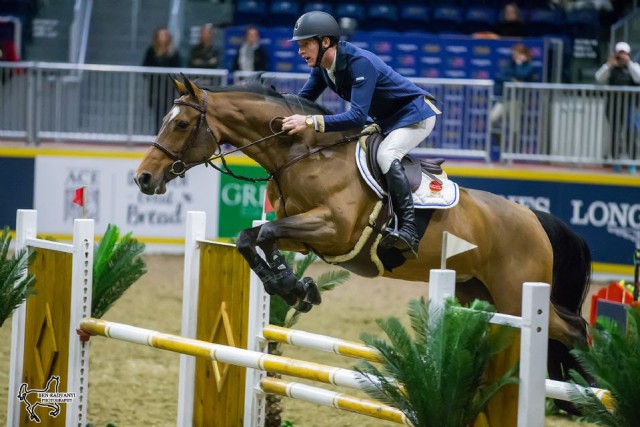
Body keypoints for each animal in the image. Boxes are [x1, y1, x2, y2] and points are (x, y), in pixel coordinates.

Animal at [135, 76, 592, 394]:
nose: (143, 178)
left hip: (516, 293)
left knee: (574, 328)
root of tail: (534, 218)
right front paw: (295, 288)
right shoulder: (307, 234)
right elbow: (254, 237)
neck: (301, 155)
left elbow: (263, 234)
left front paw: (294, 288)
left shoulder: (332, 228)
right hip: (475, 292)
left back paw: (586, 394)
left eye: (182, 124)